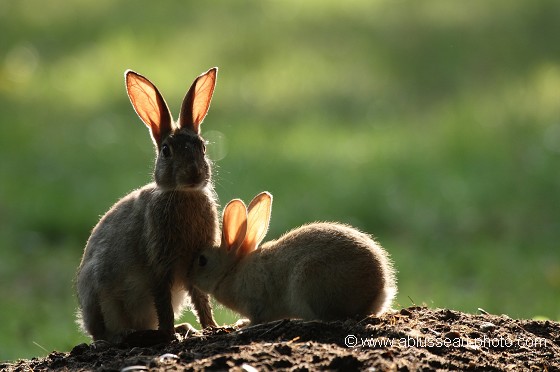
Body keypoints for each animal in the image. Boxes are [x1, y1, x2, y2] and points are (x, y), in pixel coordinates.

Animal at [75, 67, 223, 342]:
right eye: (166, 151)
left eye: (202, 147)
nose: (194, 174)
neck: (183, 194)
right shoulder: (159, 263)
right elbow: (163, 301)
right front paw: (171, 336)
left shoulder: (195, 261)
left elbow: (200, 299)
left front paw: (213, 327)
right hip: (103, 299)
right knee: (109, 335)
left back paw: (183, 328)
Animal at [190, 192, 396, 326]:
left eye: (202, 260)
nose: (190, 276)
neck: (231, 270)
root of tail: (377, 293)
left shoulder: (255, 302)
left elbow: (256, 318)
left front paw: (243, 325)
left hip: (311, 282)